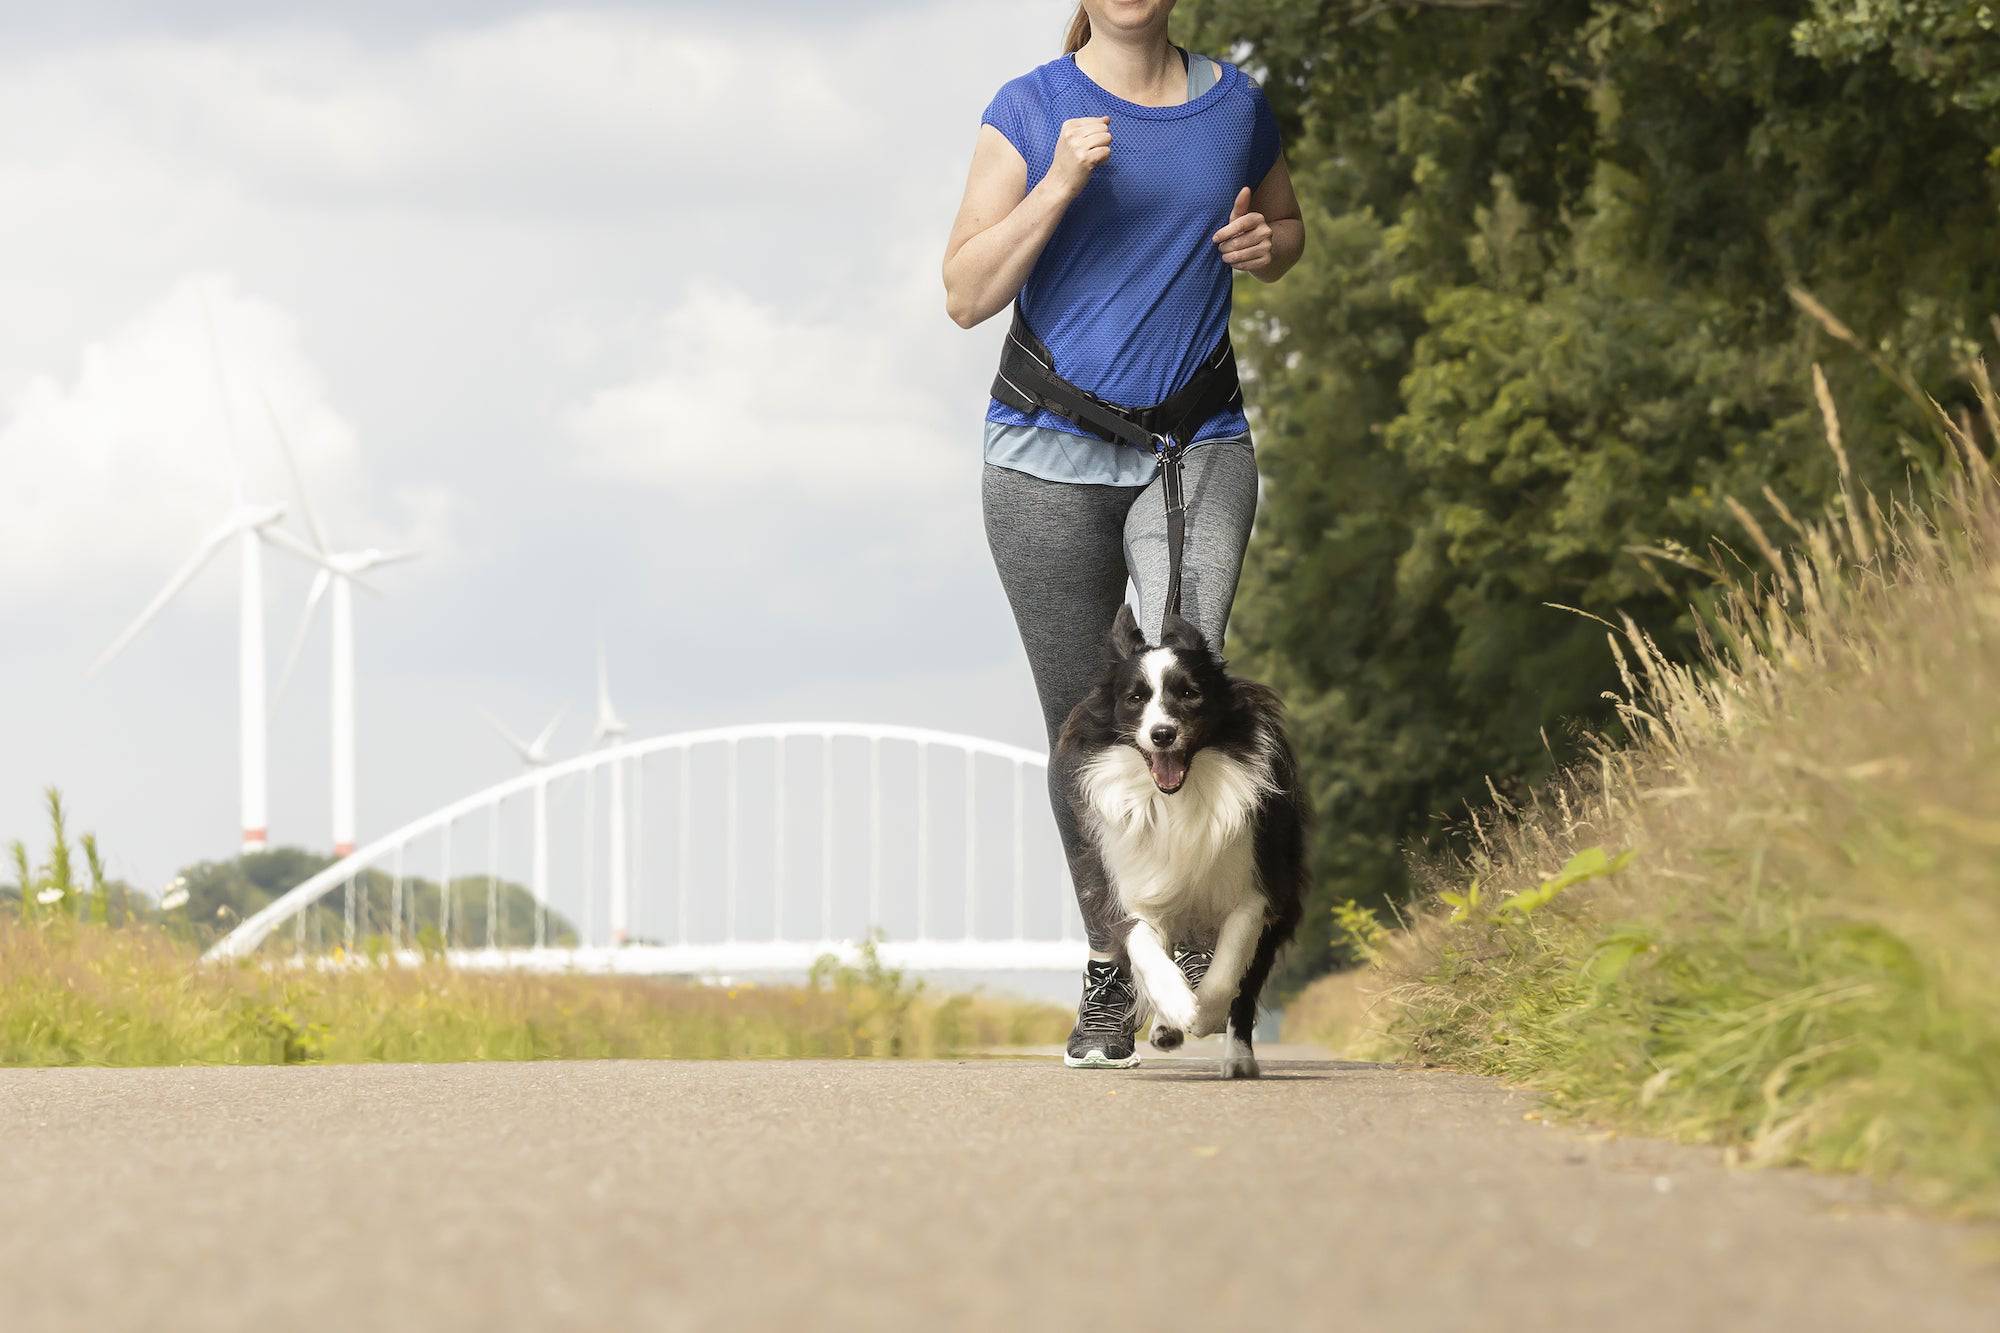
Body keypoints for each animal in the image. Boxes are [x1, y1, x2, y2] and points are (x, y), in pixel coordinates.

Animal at [1056, 600, 1304, 1072]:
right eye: (1135, 699)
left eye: (1190, 694)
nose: (1162, 734)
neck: (1176, 799)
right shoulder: (1132, 887)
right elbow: (1145, 949)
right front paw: (1176, 1004)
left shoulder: (1257, 890)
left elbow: (1228, 967)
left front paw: (1203, 1013)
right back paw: (1167, 1025)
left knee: (1242, 986)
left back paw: (1238, 1059)